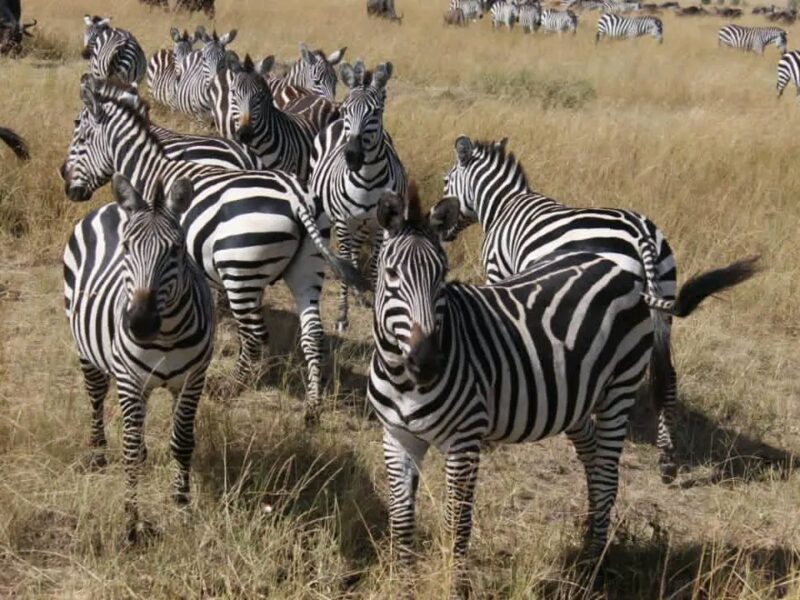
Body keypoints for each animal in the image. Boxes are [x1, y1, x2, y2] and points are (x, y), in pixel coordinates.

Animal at [60, 76, 367, 422]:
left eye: (80, 137)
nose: (68, 186)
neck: (149, 173)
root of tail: (296, 197)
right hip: (307, 269)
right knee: (312, 333)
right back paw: (312, 406)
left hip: (241, 271)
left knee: (254, 334)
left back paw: (236, 386)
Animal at [64, 174, 214, 542]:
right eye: (126, 247)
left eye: (176, 250)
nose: (140, 323)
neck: (167, 335)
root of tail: (110, 206)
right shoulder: (130, 381)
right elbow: (130, 453)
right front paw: (131, 523)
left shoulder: (192, 380)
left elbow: (181, 443)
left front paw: (182, 506)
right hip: (88, 353)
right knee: (96, 399)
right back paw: (98, 451)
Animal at [310, 59, 407, 332]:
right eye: (346, 110)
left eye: (375, 112)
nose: (352, 156)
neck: (367, 180)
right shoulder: (344, 221)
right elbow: (346, 261)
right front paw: (342, 316)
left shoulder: (379, 225)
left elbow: (373, 267)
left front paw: (373, 305)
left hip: (363, 224)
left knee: (355, 252)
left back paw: (359, 294)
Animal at [369, 186, 758, 593]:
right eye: (391, 274)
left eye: (442, 276)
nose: (428, 363)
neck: (402, 379)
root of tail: (623, 269)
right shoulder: (396, 437)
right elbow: (401, 518)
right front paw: (403, 583)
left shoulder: (464, 441)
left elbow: (457, 523)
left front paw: (455, 587)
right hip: (575, 396)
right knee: (593, 460)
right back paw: (588, 542)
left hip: (619, 388)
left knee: (607, 474)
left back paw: (593, 566)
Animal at [440, 136, 688, 481]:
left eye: (445, 182)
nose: (436, 222)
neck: (502, 204)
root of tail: (643, 234)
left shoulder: (499, 272)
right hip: (662, 302)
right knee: (667, 376)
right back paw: (666, 458)